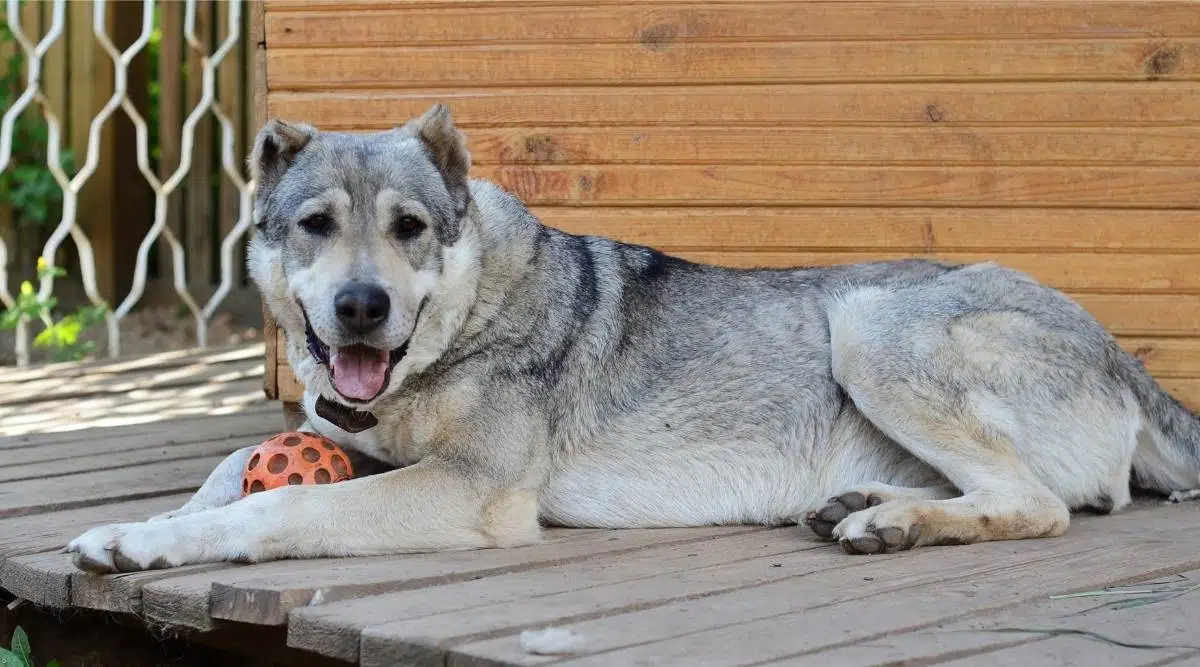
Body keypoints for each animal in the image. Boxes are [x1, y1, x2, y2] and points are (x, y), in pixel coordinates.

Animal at [68, 104, 1200, 573]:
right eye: (314, 225)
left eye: (409, 228)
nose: (360, 308)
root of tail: (1125, 359)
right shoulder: (354, 436)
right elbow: (227, 472)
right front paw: (133, 529)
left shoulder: (466, 492)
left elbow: (276, 510)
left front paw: (159, 544)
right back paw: (865, 505)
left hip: (866, 324)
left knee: (1039, 504)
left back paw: (894, 525)